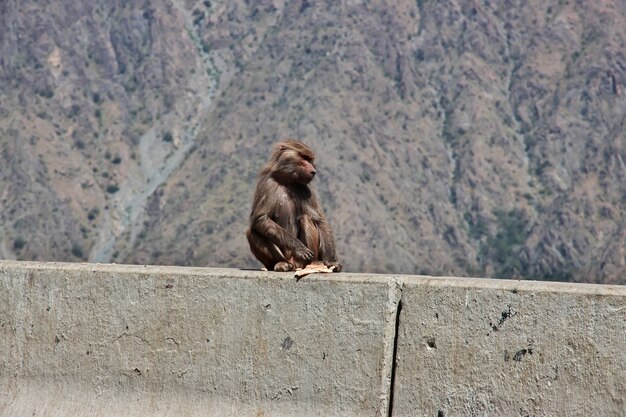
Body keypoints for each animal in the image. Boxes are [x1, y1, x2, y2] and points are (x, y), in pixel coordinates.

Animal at [245, 138, 342, 272]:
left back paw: (314, 262)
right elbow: (260, 219)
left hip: (302, 261)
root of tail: (295, 264)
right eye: (304, 158)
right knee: (252, 232)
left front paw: (332, 261)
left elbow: (320, 220)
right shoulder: (266, 183)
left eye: (310, 160)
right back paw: (281, 263)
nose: (313, 171)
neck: (287, 181)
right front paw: (299, 247)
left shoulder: (306, 190)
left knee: (306, 218)